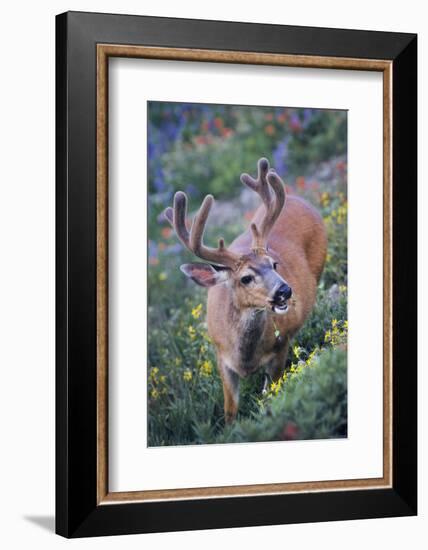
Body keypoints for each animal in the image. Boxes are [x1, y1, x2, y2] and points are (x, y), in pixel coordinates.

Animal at [164, 157, 328, 424]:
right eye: (246, 278)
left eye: (274, 264)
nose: (285, 290)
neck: (246, 358)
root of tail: (297, 198)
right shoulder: (221, 356)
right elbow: (230, 410)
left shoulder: (280, 348)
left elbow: (270, 394)